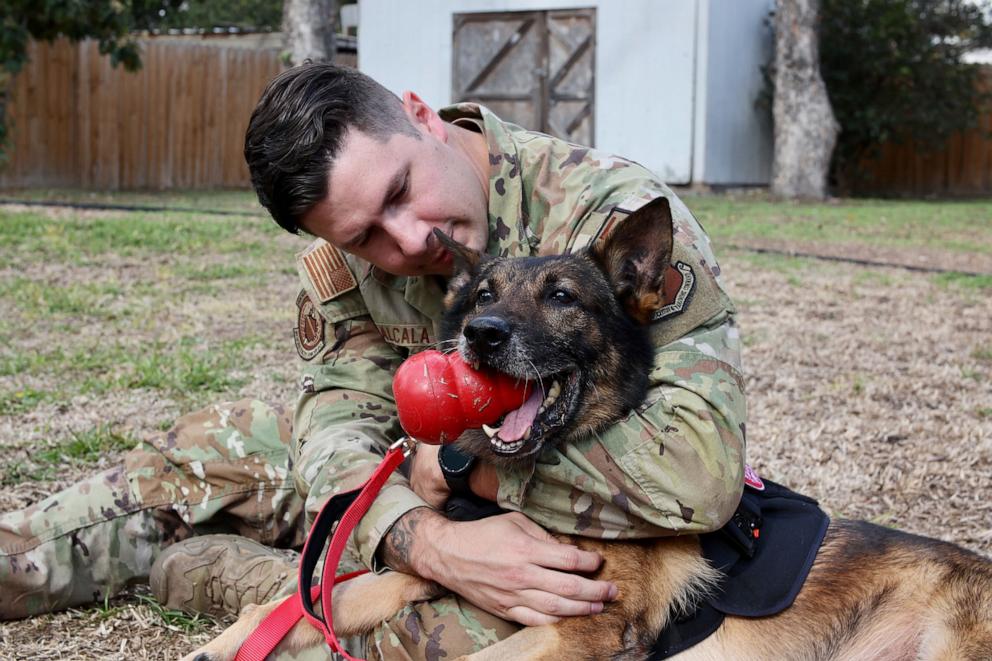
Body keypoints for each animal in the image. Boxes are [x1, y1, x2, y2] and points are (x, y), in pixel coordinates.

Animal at [186, 197, 992, 660]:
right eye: (483, 294)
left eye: (564, 297)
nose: (480, 336)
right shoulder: (444, 564)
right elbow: (320, 598)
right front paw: (227, 643)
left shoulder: (585, 629)